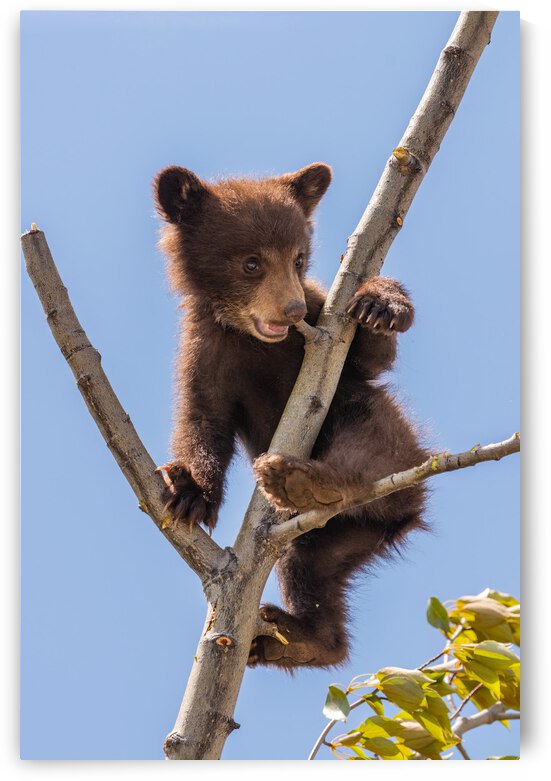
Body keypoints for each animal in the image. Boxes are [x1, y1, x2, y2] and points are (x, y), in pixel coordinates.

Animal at [153, 162, 428, 670]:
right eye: (251, 262)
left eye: (299, 260)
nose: (292, 308)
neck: (253, 340)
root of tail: (401, 513)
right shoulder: (204, 353)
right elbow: (203, 420)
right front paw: (189, 490)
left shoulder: (321, 325)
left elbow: (369, 359)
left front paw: (382, 303)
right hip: (341, 537)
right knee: (310, 567)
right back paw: (299, 639)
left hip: (393, 454)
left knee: (367, 437)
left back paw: (308, 480)